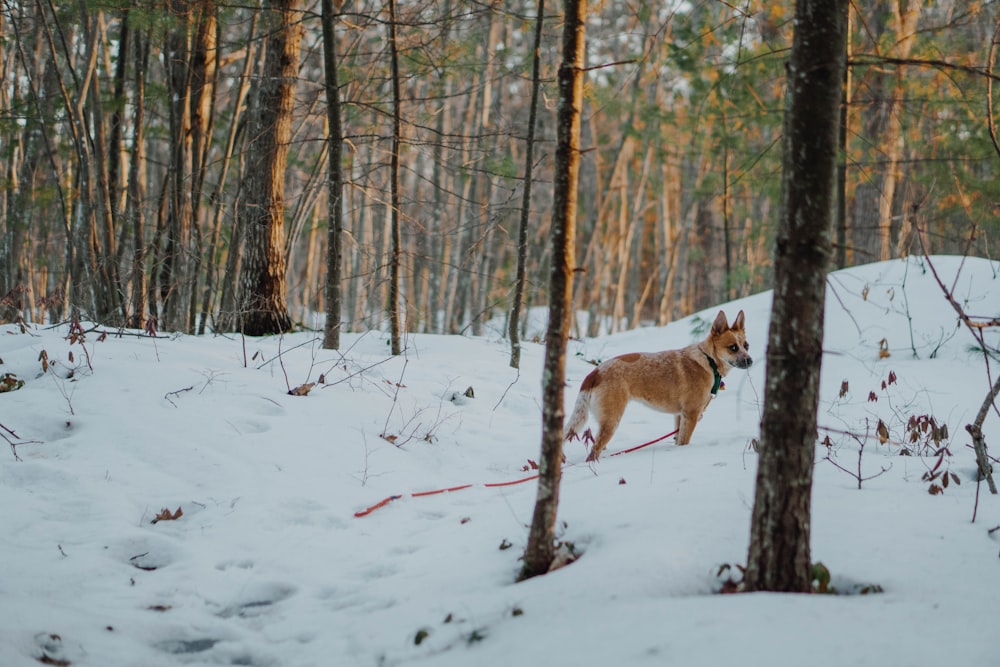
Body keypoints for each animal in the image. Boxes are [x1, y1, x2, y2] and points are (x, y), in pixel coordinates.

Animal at [568, 310, 752, 462]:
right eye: (733, 347)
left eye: (746, 346)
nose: (750, 360)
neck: (709, 360)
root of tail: (595, 372)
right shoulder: (691, 414)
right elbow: (684, 441)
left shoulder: (680, 416)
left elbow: (678, 440)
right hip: (611, 421)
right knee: (594, 451)